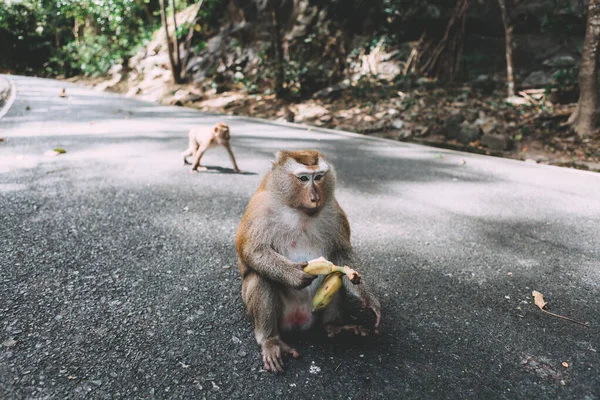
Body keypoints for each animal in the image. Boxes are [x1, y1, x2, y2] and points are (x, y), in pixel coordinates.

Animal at [237, 148, 382, 374]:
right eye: (304, 178)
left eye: (319, 177)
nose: (315, 198)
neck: (298, 210)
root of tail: (300, 321)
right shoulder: (260, 209)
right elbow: (252, 250)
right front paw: (294, 274)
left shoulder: (334, 211)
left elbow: (341, 254)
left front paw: (368, 296)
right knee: (260, 277)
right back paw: (270, 341)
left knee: (336, 276)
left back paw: (335, 326)